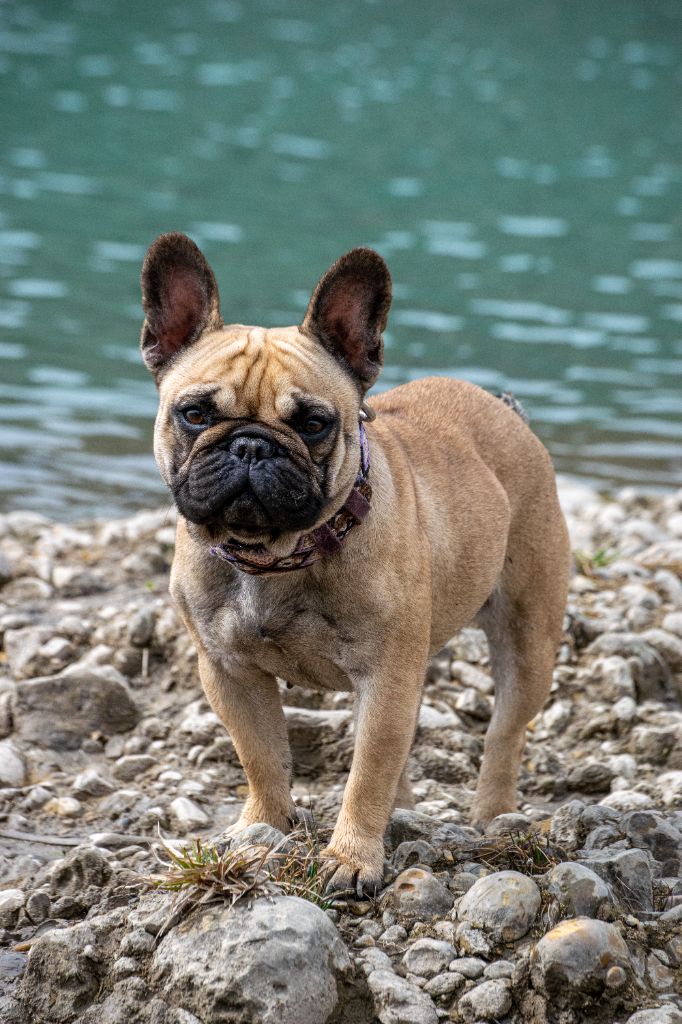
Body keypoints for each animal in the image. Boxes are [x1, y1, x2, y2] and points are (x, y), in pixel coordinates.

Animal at [138, 235, 569, 892]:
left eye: (314, 424)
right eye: (195, 414)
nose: (250, 444)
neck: (277, 556)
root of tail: (504, 411)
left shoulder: (386, 676)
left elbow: (366, 774)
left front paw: (350, 857)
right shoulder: (230, 673)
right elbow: (262, 757)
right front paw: (261, 828)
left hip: (527, 635)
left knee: (503, 731)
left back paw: (494, 814)